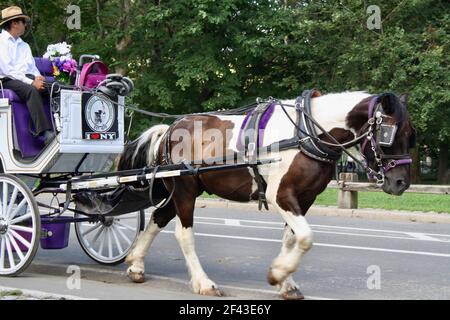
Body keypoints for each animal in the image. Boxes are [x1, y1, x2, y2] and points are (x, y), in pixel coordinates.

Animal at [116, 90, 414, 300]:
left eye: (411, 133)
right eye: (388, 133)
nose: (401, 182)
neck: (307, 134)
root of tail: (168, 129)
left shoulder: (305, 198)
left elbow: (291, 238)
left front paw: (286, 282)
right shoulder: (280, 195)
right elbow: (306, 237)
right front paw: (277, 274)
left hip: (181, 190)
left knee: (158, 217)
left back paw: (136, 264)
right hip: (185, 190)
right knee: (183, 233)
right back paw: (203, 282)